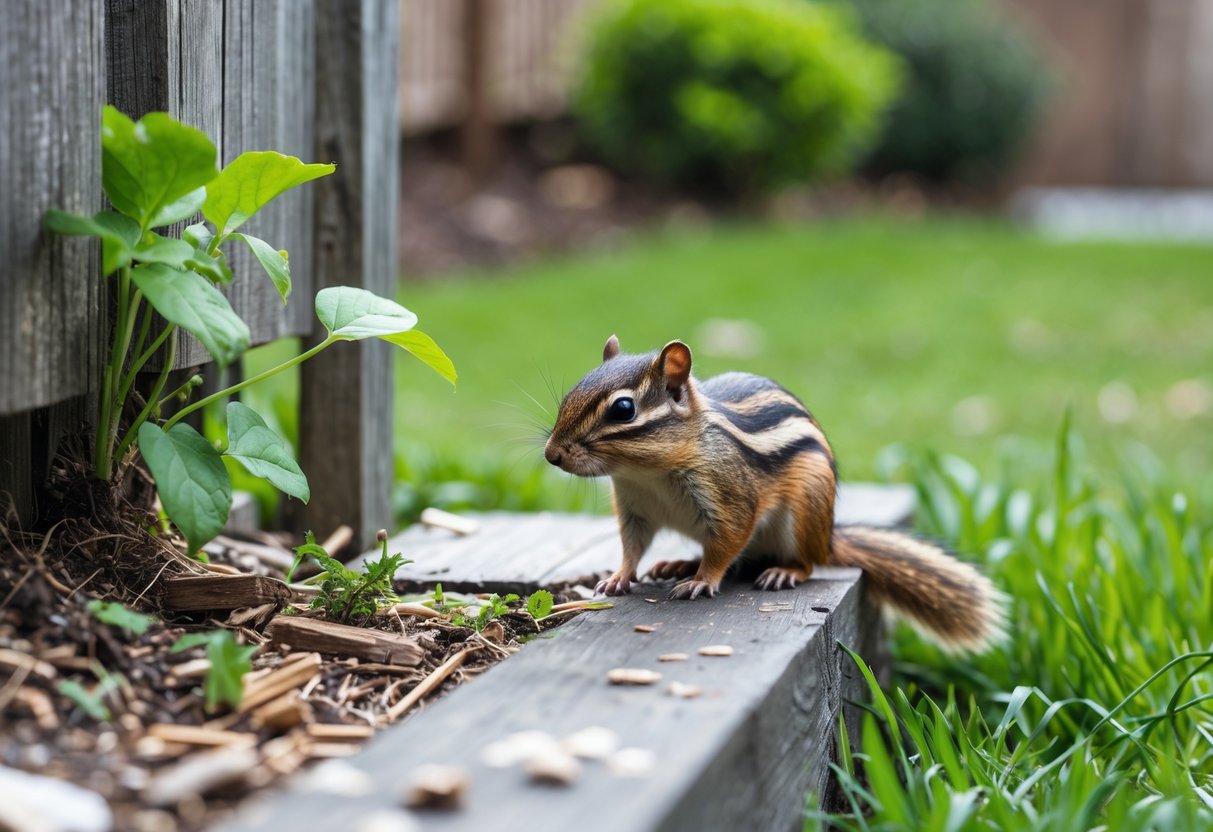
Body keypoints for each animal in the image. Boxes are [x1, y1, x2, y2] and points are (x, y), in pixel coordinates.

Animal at [543, 335, 1005, 652]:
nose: (551, 455)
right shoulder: (634, 508)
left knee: (804, 562)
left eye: (623, 409)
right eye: (571, 394)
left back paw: (782, 571)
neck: (647, 474)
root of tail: (828, 537)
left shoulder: (730, 499)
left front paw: (702, 580)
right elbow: (632, 546)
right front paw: (618, 577)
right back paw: (679, 563)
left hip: (804, 515)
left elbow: (727, 543)